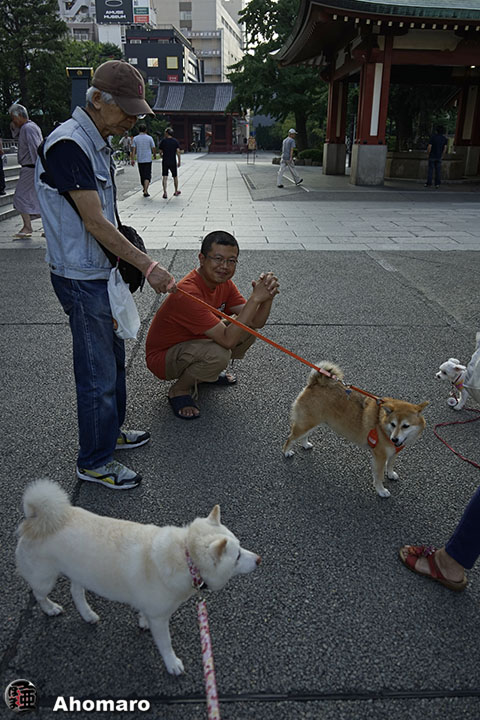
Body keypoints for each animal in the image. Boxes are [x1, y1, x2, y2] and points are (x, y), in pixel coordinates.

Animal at [16, 480, 261, 675]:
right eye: (238, 556)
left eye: (241, 547)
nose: (259, 559)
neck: (186, 556)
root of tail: (34, 519)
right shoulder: (160, 618)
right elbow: (166, 644)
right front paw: (173, 664)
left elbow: (143, 614)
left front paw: (142, 622)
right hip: (45, 579)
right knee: (39, 594)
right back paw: (50, 608)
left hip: (80, 571)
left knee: (76, 592)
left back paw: (88, 615)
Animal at [282, 362, 429, 498]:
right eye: (393, 424)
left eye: (405, 426)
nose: (394, 439)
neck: (382, 425)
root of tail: (315, 383)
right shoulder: (380, 456)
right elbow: (379, 476)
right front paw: (381, 490)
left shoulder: (394, 452)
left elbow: (391, 464)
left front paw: (391, 474)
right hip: (307, 423)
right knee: (291, 438)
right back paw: (287, 452)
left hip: (313, 422)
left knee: (304, 436)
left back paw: (305, 444)